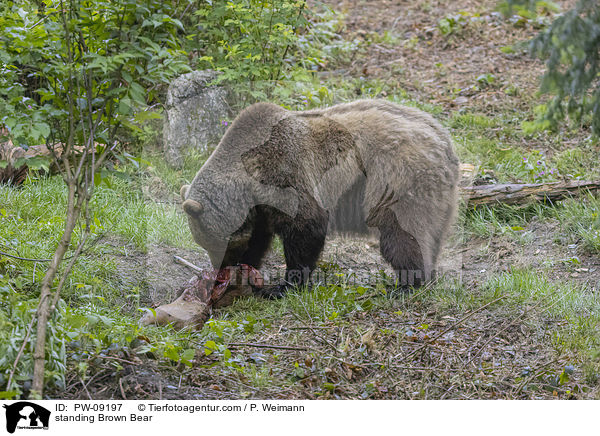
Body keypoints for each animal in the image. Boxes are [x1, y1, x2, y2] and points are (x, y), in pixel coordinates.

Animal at [179, 98, 460, 296]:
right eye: (204, 243)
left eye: (215, 243)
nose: (220, 270)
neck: (249, 179)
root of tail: (445, 142)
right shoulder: (261, 207)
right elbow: (259, 236)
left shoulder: (285, 176)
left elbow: (305, 227)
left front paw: (283, 286)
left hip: (398, 180)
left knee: (402, 233)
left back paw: (407, 285)